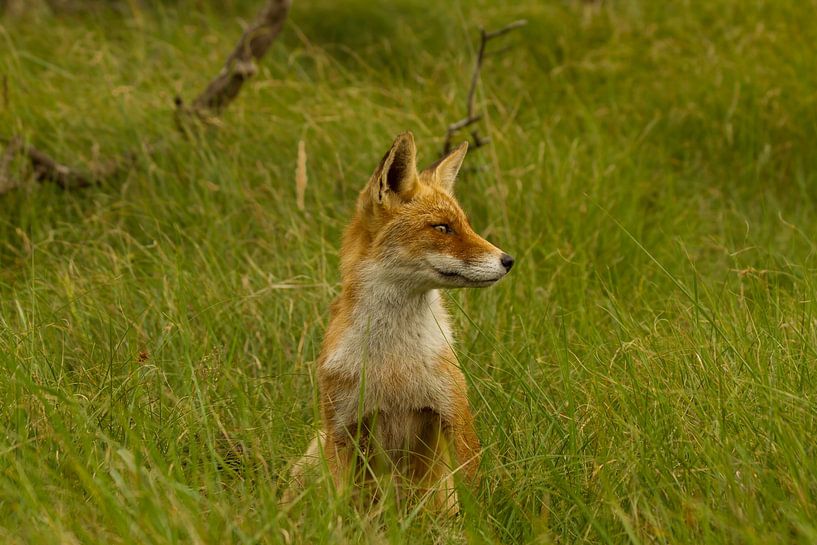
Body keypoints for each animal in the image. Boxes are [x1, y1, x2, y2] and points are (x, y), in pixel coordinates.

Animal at [284, 131, 514, 514]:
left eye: (465, 225)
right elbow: (339, 507)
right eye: (442, 228)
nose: (508, 260)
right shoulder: (342, 427)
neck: (394, 367)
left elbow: (473, 496)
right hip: (316, 449)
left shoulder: (453, 413)